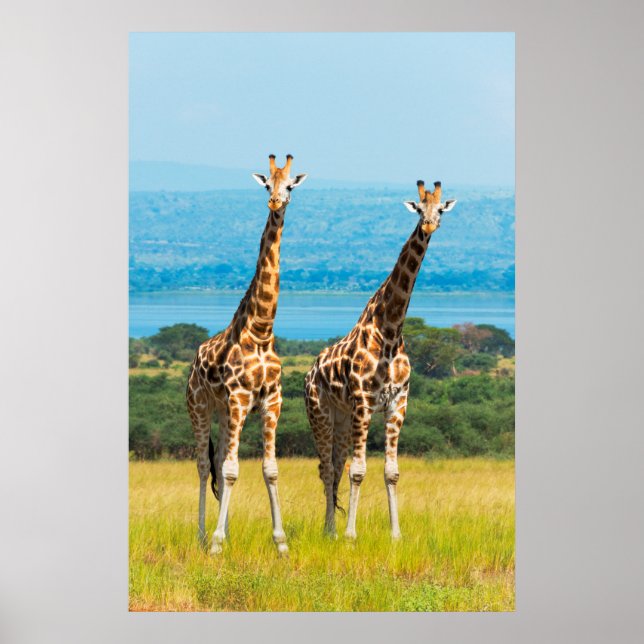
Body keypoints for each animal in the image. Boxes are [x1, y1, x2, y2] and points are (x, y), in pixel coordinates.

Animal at [186, 154, 307, 555]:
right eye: (267, 184)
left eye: (289, 185)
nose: (275, 202)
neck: (261, 331)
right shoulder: (239, 398)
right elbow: (230, 470)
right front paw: (217, 544)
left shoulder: (272, 401)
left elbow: (269, 469)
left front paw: (281, 543)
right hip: (201, 407)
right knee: (204, 466)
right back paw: (203, 535)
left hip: (225, 414)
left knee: (220, 462)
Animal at [304, 179, 456, 540]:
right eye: (419, 207)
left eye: (441, 209)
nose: (429, 224)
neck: (390, 330)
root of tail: (308, 373)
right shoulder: (363, 401)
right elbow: (358, 470)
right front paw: (350, 536)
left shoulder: (398, 402)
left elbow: (391, 471)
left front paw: (396, 535)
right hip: (321, 413)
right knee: (327, 467)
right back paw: (330, 531)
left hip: (343, 419)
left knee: (335, 466)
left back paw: (331, 529)